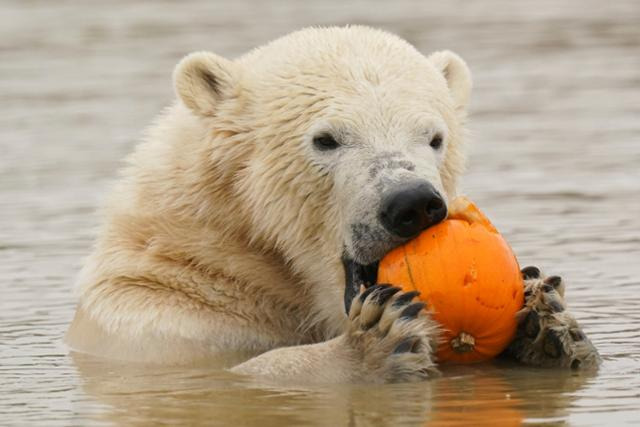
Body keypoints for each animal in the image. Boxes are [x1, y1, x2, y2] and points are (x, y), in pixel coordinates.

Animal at [66, 25, 600, 382]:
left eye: (434, 137)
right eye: (326, 139)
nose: (412, 203)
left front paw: (547, 322)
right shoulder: (169, 321)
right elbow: (241, 373)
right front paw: (371, 345)